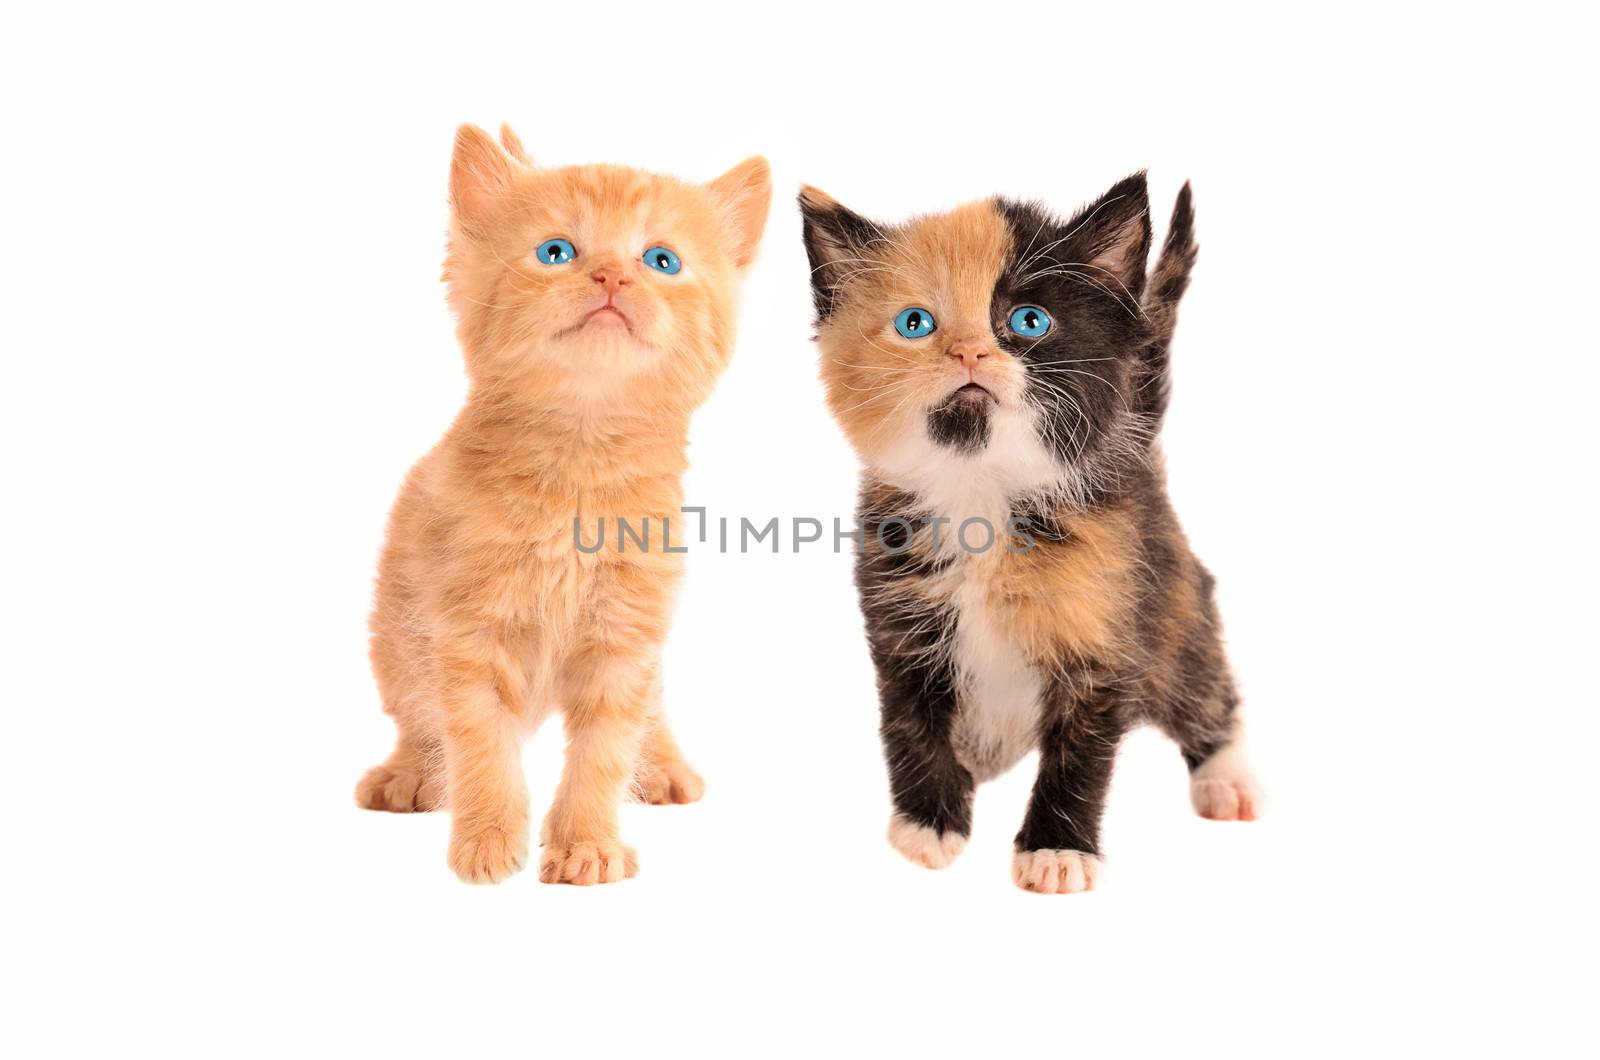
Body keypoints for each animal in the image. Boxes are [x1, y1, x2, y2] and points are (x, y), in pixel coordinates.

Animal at [356, 124, 768, 890]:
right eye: (557, 253)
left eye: (661, 260)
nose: (611, 277)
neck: (580, 462)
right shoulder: (468, 632)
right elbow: (478, 743)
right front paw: (487, 839)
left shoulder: (626, 633)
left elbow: (605, 750)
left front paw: (587, 844)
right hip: (397, 634)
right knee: (418, 716)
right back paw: (412, 774)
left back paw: (663, 765)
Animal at [800, 174, 1260, 896]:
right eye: (915, 324)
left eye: (1028, 321)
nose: (969, 351)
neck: (981, 492)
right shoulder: (899, 621)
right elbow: (908, 721)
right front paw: (929, 823)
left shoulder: (1105, 629)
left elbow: (1081, 754)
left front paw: (1056, 849)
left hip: (1174, 604)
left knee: (1201, 682)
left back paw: (1226, 775)